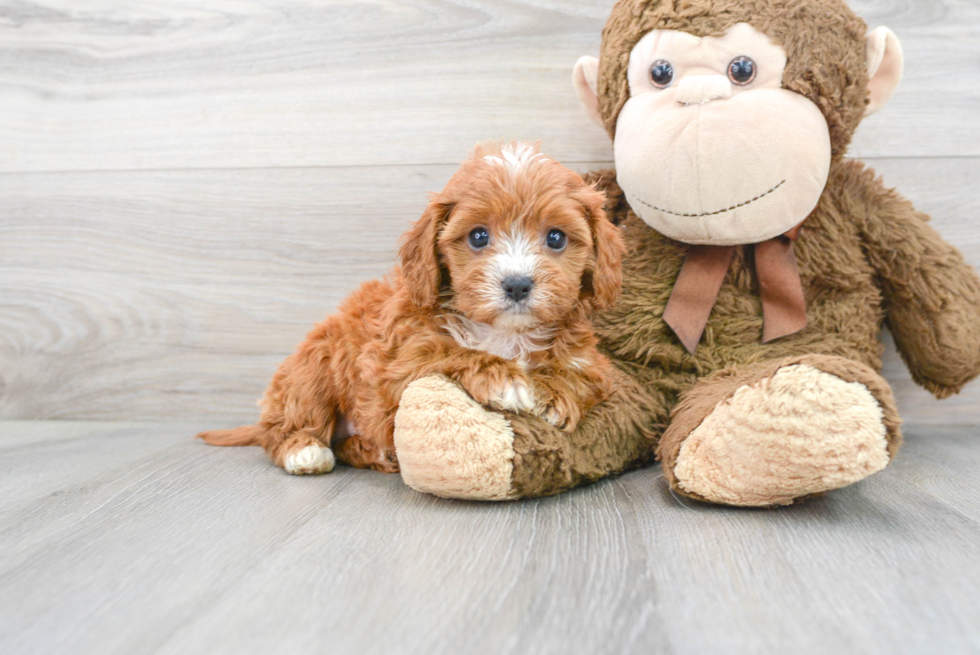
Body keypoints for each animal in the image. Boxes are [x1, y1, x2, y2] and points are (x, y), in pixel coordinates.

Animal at [198, 141, 624, 474]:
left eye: (556, 238)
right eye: (478, 236)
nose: (517, 284)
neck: (502, 334)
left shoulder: (593, 366)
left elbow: (581, 376)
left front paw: (552, 393)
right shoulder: (398, 365)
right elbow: (450, 352)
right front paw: (504, 379)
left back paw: (372, 452)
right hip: (312, 368)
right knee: (282, 428)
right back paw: (303, 450)